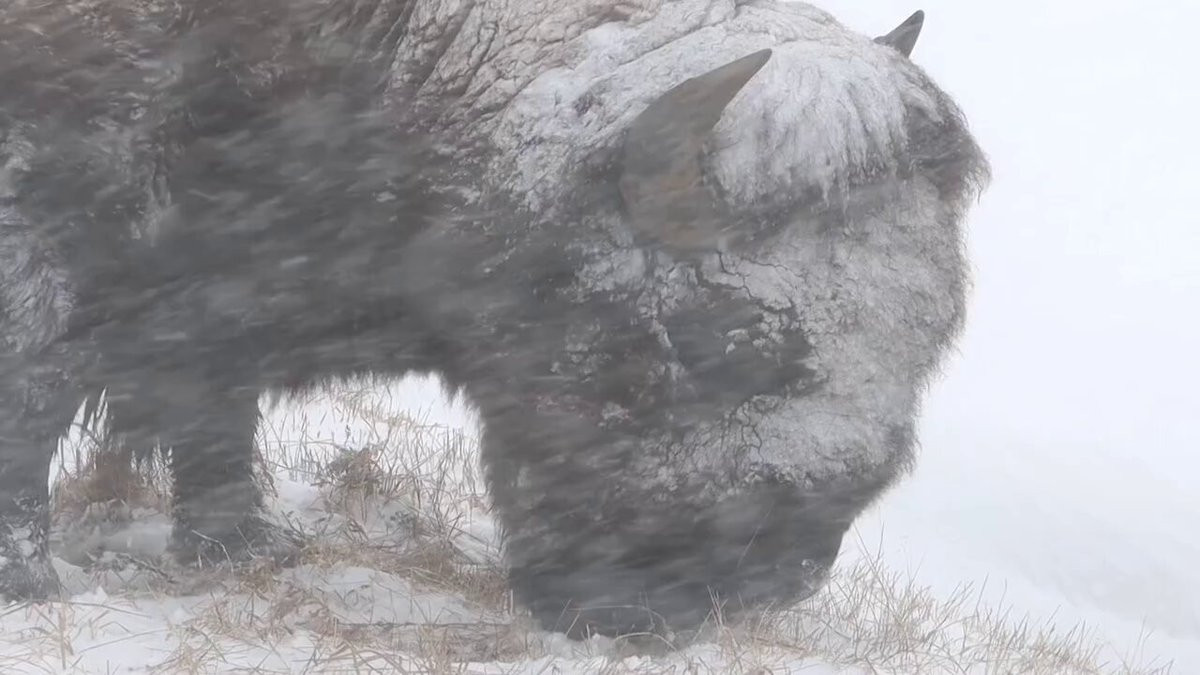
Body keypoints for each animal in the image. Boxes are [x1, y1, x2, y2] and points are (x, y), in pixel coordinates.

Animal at [0, 1, 988, 638]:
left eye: (934, 334)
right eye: (709, 337)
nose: (756, 588)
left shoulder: (223, 295)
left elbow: (214, 416)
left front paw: (242, 548)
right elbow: (33, 407)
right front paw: (33, 588)